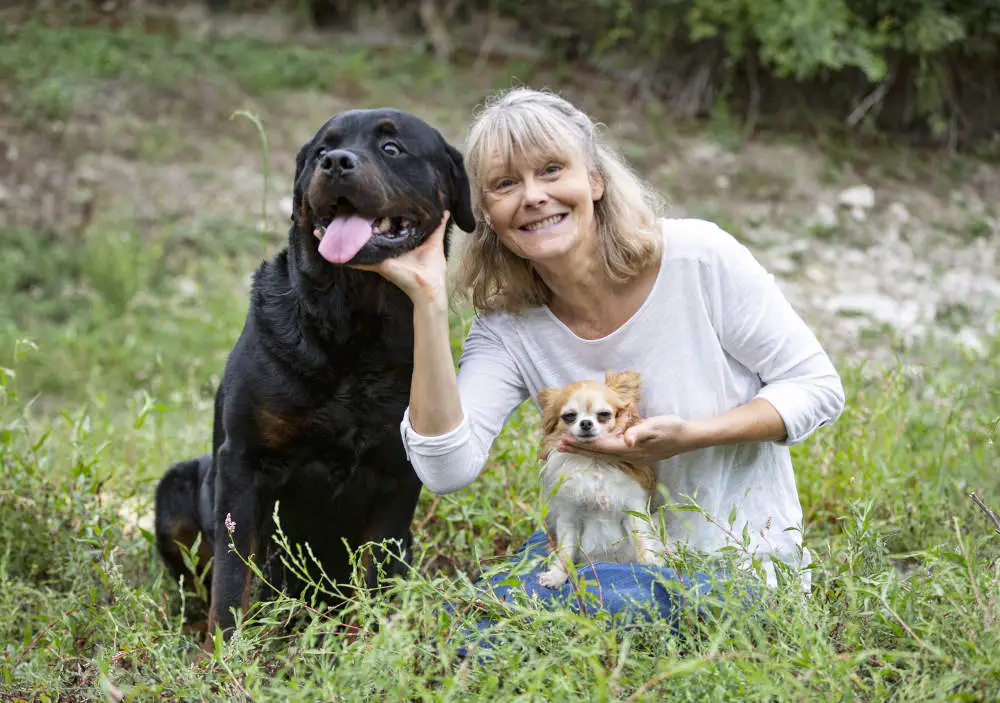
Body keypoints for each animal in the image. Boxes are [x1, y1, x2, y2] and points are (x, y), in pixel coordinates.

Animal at [155, 107, 476, 648]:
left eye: (392, 148)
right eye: (321, 150)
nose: (336, 162)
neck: (353, 325)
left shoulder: (398, 472)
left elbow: (373, 570)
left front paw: (363, 644)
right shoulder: (243, 461)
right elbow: (233, 575)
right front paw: (225, 652)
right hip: (174, 491)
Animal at [536, 368, 668, 588]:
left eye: (604, 415)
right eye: (569, 416)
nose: (586, 423)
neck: (594, 462)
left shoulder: (632, 508)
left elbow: (641, 539)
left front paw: (650, 563)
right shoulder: (568, 517)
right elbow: (565, 549)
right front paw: (557, 575)